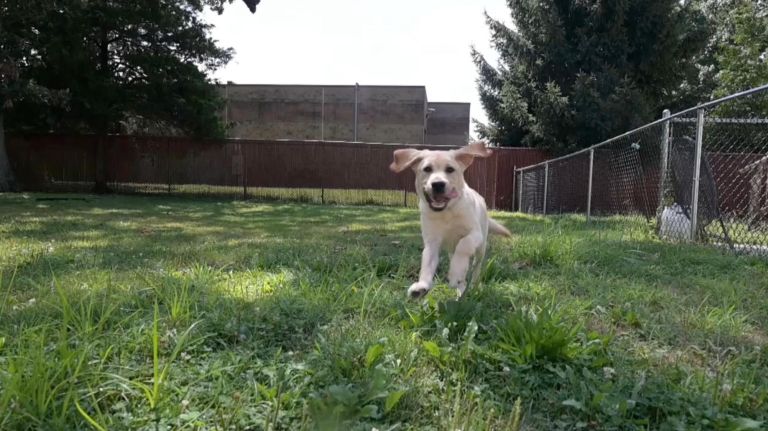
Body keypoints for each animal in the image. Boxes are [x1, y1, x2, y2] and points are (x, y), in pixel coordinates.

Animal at [390, 143, 510, 298]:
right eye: (427, 169)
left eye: (450, 169)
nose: (438, 184)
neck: (446, 212)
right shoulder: (432, 242)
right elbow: (427, 264)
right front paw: (422, 286)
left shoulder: (475, 233)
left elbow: (464, 244)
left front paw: (456, 272)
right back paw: (460, 290)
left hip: (481, 247)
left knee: (476, 267)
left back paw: (474, 286)